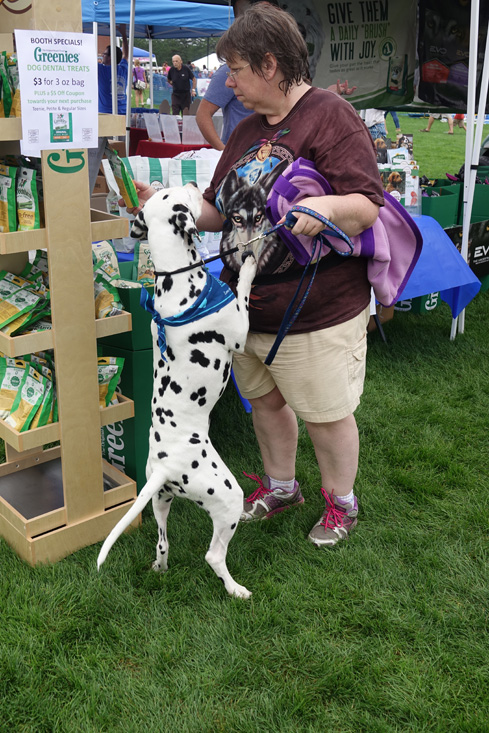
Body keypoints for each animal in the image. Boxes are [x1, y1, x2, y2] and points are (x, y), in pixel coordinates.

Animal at [97, 183, 257, 599]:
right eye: (178, 193)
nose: (197, 185)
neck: (177, 285)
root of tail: (167, 467)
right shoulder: (240, 330)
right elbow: (245, 287)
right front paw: (250, 262)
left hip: (160, 502)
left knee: (162, 542)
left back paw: (161, 568)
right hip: (228, 498)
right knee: (214, 556)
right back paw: (236, 589)